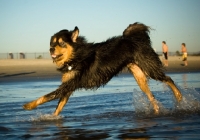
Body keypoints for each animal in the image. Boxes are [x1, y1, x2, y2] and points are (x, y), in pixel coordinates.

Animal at [22, 22, 182, 115]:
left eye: (61, 43)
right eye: (52, 43)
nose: (50, 49)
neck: (76, 56)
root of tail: (136, 38)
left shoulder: (69, 84)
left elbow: (47, 96)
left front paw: (29, 105)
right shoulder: (69, 86)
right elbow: (58, 107)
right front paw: (52, 119)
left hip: (149, 68)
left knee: (168, 78)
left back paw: (179, 96)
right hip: (139, 77)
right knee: (151, 95)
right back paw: (157, 110)